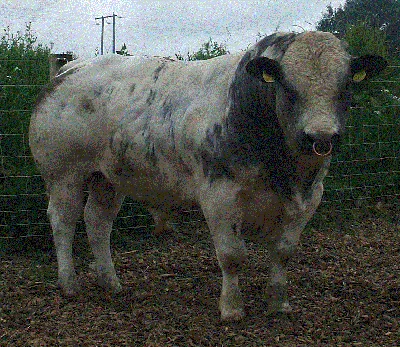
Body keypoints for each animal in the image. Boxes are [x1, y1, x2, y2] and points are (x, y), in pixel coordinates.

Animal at [29, 31, 386, 322]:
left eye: (346, 86)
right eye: (288, 87)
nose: (320, 137)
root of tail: (68, 70)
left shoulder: (310, 196)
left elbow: (284, 251)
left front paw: (278, 303)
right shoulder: (220, 195)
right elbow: (232, 255)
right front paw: (231, 308)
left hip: (108, 178)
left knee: (98, 221)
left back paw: (110, 282)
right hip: (64, 174)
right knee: (63, 221)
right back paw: (69, 283)